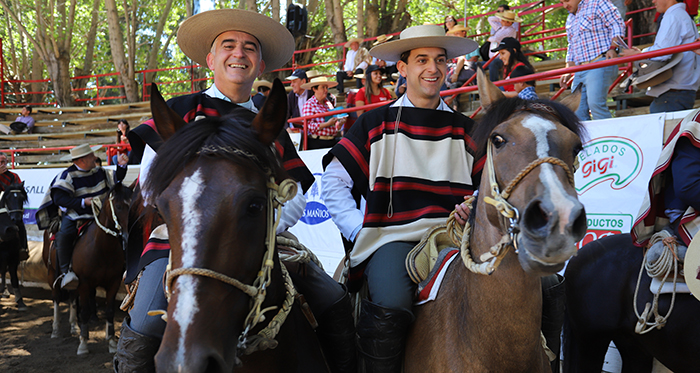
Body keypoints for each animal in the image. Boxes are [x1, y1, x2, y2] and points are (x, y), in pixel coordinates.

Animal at [42, 183, 133, 354]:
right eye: (118, 206)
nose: (128, 234)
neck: (101, 247)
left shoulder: (113, 282)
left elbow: (109, 311)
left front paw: (111, 343)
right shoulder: (84, 283)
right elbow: (84, 312)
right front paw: (83, 345)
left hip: (73, 282)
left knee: (72, 297)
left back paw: (74, 327)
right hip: (51, 274)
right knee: (56, 297)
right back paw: (56, 330)